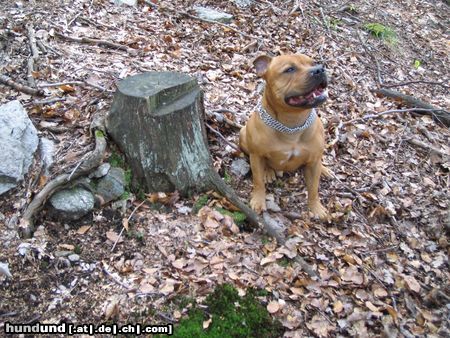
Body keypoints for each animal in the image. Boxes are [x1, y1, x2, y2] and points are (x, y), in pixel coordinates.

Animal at [239, 54, 330, 219]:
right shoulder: (256, 156)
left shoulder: (313, 164)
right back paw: (268, 172)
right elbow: (258, 181)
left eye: (313, 63)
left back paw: (325, 169)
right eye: (290, 69)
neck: (292, 125)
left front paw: (316, 208)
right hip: (243, 134)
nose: (320, 69)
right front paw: (258, 200)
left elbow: (314, 188)